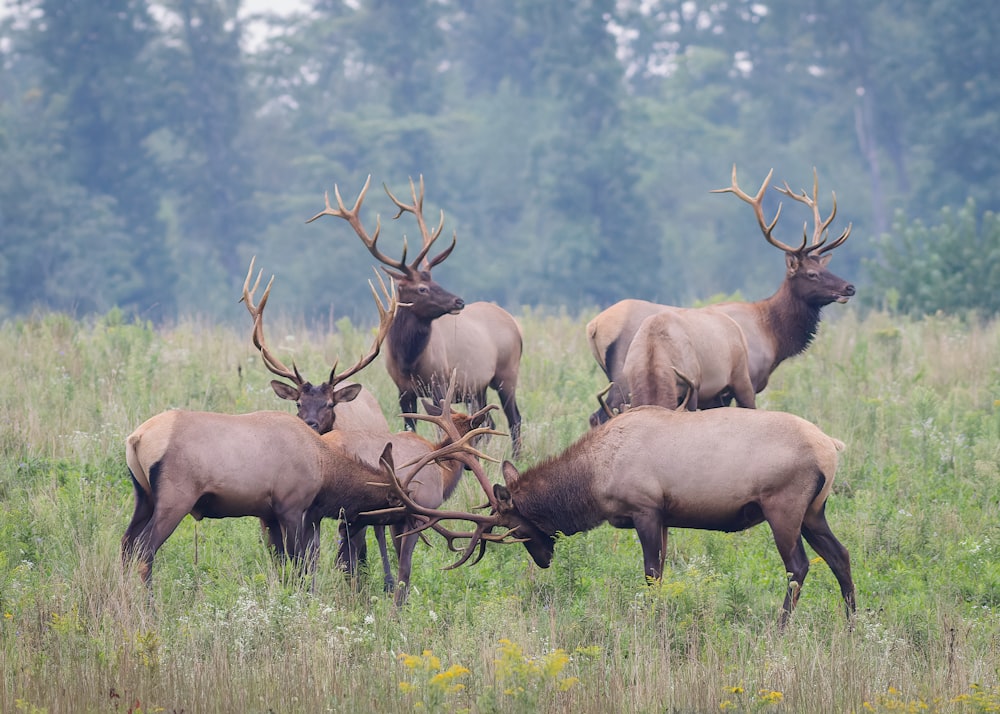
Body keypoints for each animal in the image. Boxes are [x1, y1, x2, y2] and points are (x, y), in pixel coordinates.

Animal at [304, 175, 524, 454]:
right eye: (422, 287)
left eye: (434, 279)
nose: (459, 300)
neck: (409, 359)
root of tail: (515, 326)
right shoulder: (403, 390)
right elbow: (410, 425)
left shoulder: (441, 382)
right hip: (478, 387)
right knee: (489, 421)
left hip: (507, 373)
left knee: (514, 418)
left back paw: (518, 456)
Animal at [378, 404, 856, 624]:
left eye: (514, 527)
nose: (544, 559)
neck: (594, 479)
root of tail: (832, 447)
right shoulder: (665, 515)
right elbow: (663, 571)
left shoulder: (645, 508)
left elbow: (651, 574)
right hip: (815, 511)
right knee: (841, 557)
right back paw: (853, 624)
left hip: (783, 506)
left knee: (798, 567)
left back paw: (779, 627)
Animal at [588, 165, 856, 422]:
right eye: (812, 274)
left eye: (825, 267)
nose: (849, 287)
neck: (772, 335)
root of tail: (593, 326)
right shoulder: (746, 380)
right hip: (622, 379)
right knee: (599, 414)